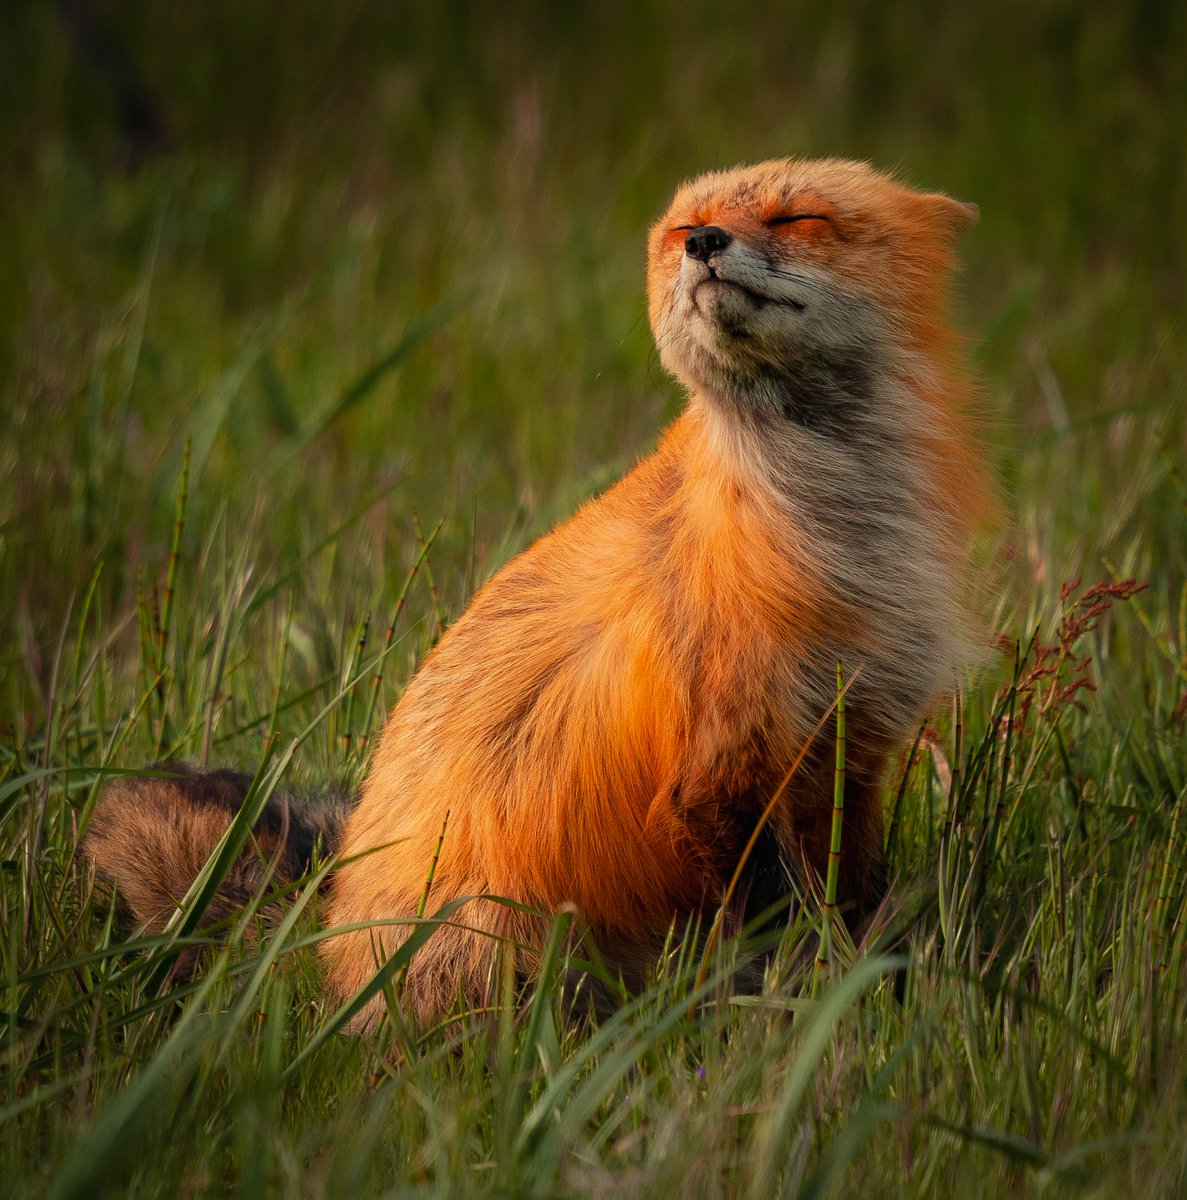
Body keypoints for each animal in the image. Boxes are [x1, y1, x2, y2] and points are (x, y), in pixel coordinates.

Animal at [84, 157, 993, 1028]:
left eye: (796, 216)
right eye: (680, 230)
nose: (704, 243)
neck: (836, 530)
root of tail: (327, 930)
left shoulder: (853, 745)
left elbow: (857, 900)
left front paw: (873, 993)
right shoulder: (720, 768)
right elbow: (781, 936)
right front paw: (804, 1013)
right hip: (500, 936)